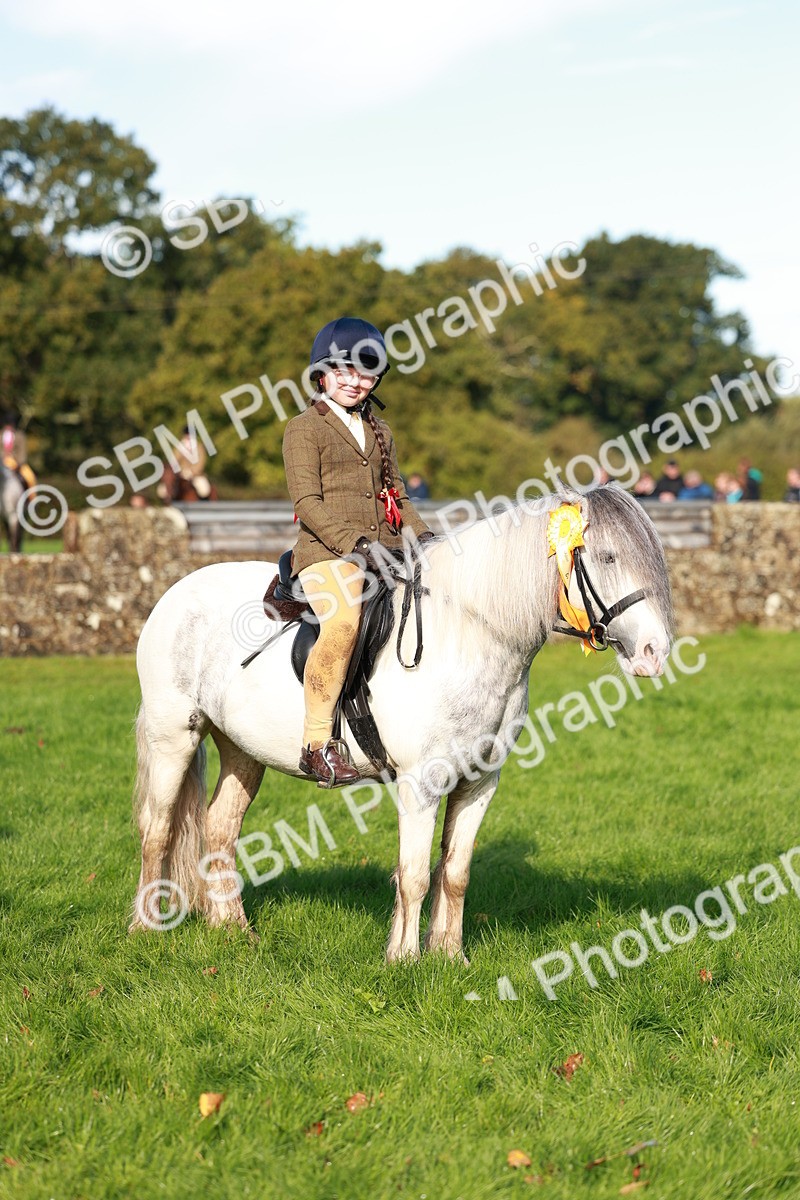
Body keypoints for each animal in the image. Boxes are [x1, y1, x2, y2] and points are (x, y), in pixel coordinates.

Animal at [130, 485, 674, 962]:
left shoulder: (479, 782)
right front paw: (404, 959)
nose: (654, 652)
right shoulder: (421, 783)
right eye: (608, 558)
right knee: (158, 829)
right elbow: (413, 874)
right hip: (174, 737)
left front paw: (450, 956)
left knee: (219, 829)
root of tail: (178, 591)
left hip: (243, 750)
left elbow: (455, 871)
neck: (468, 633)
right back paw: (145, 927)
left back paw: (233, 930)